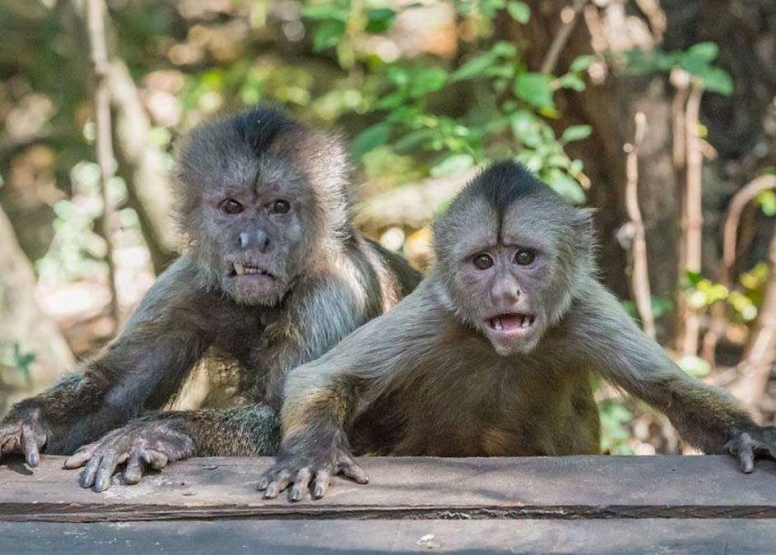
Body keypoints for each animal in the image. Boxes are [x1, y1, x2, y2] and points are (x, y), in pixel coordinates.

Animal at [0, 106, 418, 494]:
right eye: (233, 206)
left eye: (279, 207)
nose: (253, 240)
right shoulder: (185, 283)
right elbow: (111, 395)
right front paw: (26, 421)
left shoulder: (335, 292)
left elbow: (290, 418)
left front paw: (155, 432)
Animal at [260, 159, 776, 502]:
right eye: (483, 261)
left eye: (524, 257)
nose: (505, 292)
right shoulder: (434, 311)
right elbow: (322, 377)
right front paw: (310, 454)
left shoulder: (586, 309)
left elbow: (674, 391)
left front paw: (752, 435)